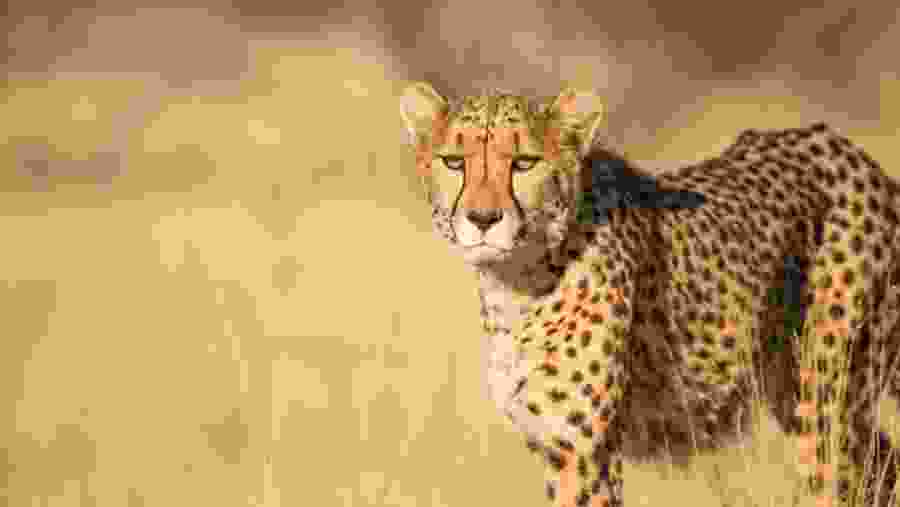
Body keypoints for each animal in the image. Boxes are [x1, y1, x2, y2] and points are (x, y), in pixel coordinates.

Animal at [398, 81, 900, 507]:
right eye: (454, 162)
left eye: (524, 162)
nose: (483, 219)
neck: (517, 280)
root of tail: (855, 154)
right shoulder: (555, 444)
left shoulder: (583, 452)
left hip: (826, 397)